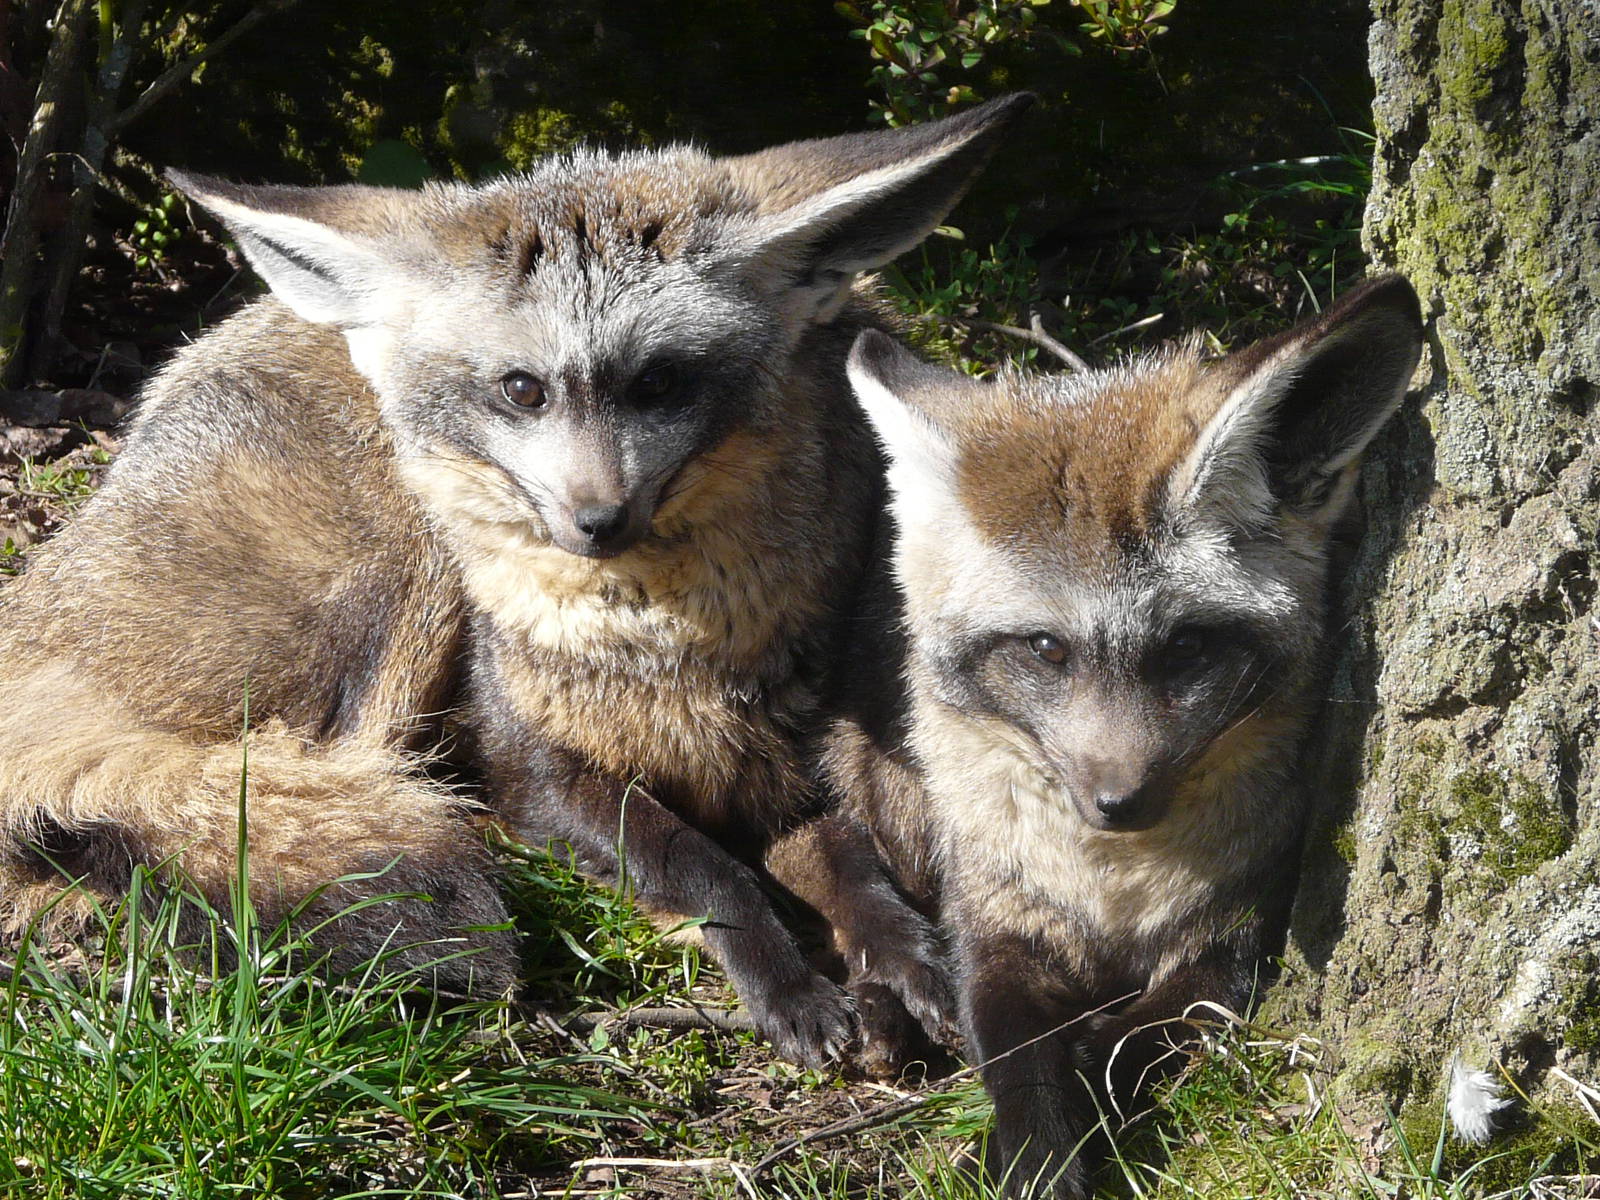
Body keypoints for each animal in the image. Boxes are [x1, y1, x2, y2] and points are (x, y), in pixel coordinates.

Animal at [0, 94, 1032, 1067]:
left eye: (659, 383)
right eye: (522, 390)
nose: (596, 522)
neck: (658, 659)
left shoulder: (795, 766)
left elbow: (856, 867)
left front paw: (904, 965)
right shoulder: (530, 766)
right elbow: (703, 869)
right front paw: (785, 982)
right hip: (398, 587)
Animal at [804, 276, 1424, 1192]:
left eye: (1187, 647)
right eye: (1046, 649)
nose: (1118, 803)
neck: (1111, 892)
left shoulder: (1229, 948)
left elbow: (1115, 1044)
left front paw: (1045, 1136)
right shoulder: (995, 925)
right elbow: (1015, 1054)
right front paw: (1031, 1151)